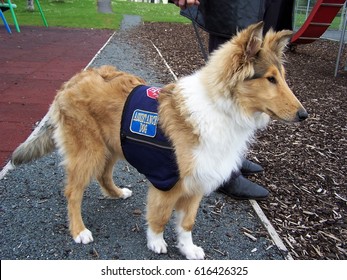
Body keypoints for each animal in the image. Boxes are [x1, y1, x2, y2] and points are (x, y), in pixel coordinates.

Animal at [12, 22, 308, 260]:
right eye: (270, 79)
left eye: (282, 77)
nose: (304, 115)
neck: (220, 107)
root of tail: (70, 82)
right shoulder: (168, 181)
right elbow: (161, 216)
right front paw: (156, 242)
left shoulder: (197, 182)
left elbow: (187, 222)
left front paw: (188, 249)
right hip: (88, 151)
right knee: (73, 192)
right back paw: (79, 231)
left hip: (114, 145)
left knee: (103, 175)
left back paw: (117, 193)